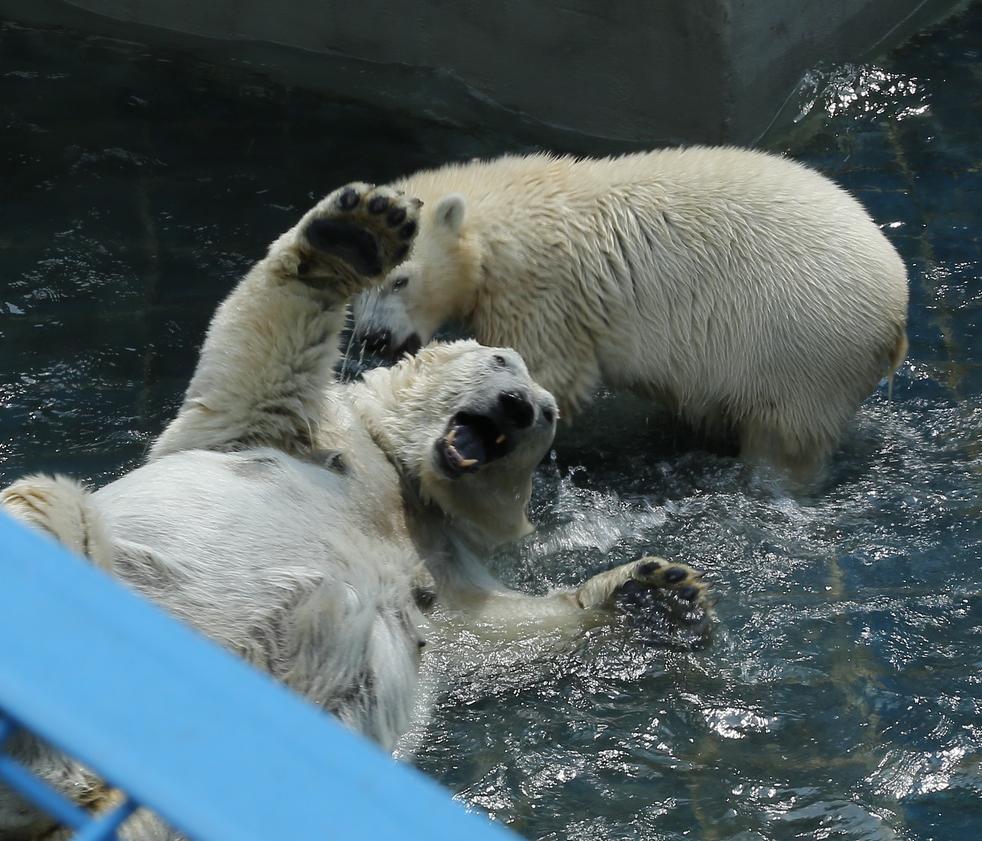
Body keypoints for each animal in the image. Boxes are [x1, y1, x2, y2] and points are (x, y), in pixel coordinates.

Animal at [0, 180, 708, 836]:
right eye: (501, 358)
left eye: (550, 415)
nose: (520, 406)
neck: (402, 481)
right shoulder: (289, 433)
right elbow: (261, 360)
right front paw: (358, 232)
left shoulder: (448, 567)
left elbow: (491, 632)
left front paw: (653, 589)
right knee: (53, 511)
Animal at [356, 148, 916, 476]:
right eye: (357, 286)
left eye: (401, 279)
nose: (373, 339)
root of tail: (897, 303)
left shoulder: (541, 292)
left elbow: (551, 375)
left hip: (803, 345)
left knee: (784, 434)